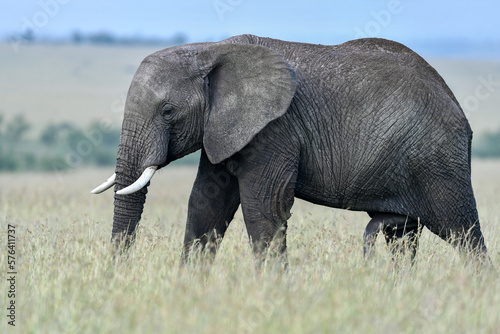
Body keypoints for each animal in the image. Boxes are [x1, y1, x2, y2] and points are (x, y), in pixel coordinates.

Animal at [92, 34, 490, 268]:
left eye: (168, 111)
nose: (117, 272)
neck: (212, 48)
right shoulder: (224, 128)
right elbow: (206, 203)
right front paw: (189, 288)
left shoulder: (275, 128)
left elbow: (263, 206)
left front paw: (272, 293)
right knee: (403, 238)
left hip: (439, 161)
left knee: (464, 232)